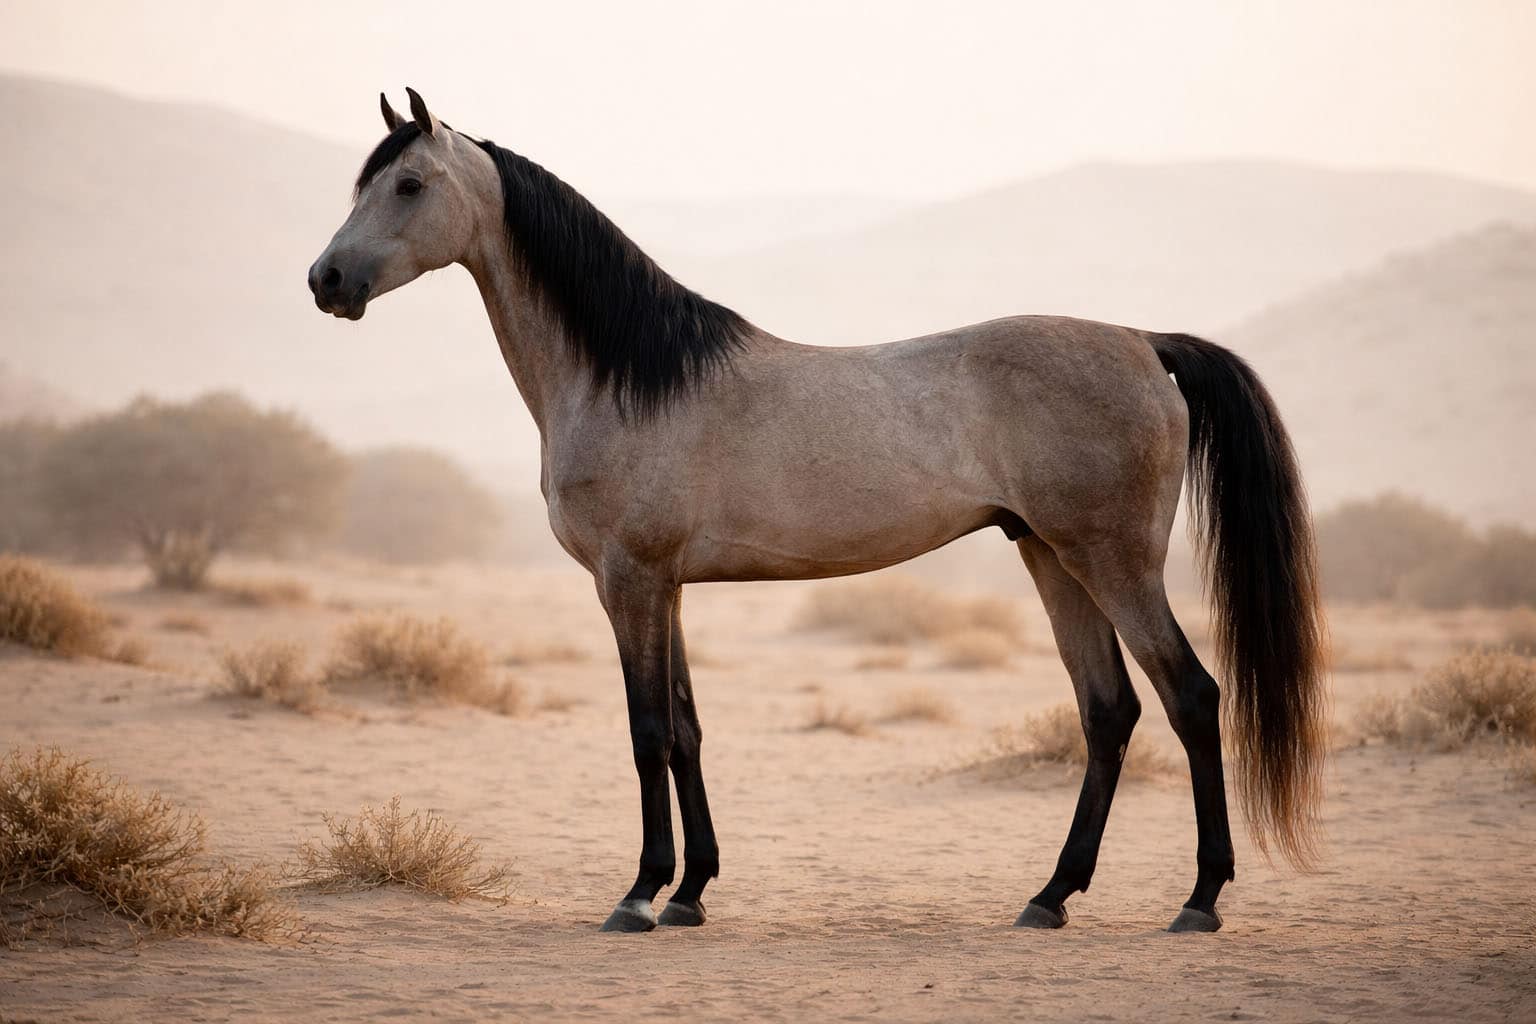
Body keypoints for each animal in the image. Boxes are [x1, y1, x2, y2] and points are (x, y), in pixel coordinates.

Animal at [308, 88, 1326, 935]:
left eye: (408, 184)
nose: (327, 282)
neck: (628, 376)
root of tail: (1145, 344)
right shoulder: (667, 586)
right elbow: (686, 730)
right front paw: (692, 892)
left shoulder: (629, 580)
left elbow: (646, 732)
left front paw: (639, 894)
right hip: (1048, 554)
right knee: (1109, 711)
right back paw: (1050, 896)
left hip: (1111, 560)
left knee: (1191, 696)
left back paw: (1199, 899)